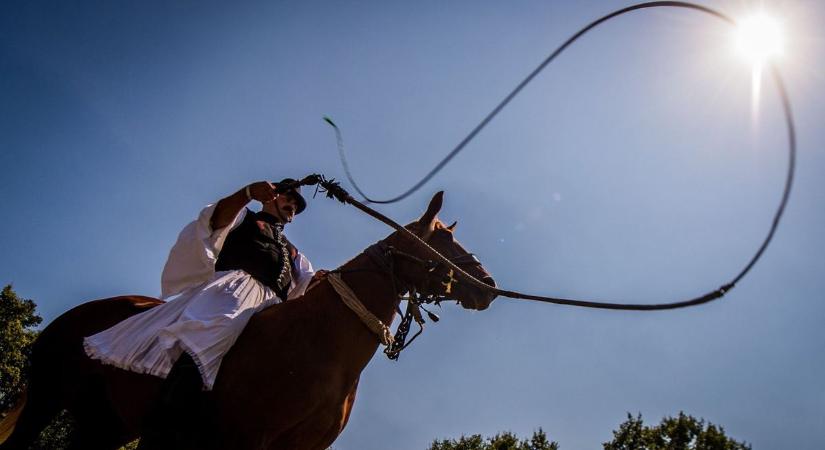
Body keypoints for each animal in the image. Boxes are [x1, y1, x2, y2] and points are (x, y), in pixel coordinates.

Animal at [0, 192, 496, 448]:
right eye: (442, 242)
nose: (489, 286)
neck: (321, 341)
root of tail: (72, 317)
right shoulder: (248, 440)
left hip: (105, 425)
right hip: (45, 401)